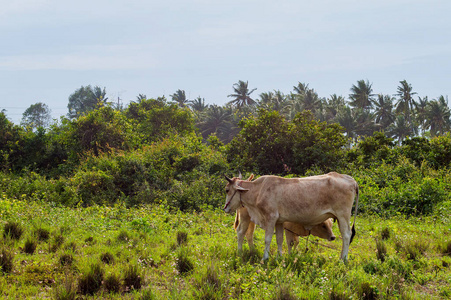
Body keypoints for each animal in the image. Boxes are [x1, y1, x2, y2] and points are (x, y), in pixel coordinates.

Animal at [223, 172, 360, 262]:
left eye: (227, 190)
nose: (225, 208)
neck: (259, 190)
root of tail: (351, 180)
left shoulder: (270, 218)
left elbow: (268, 239)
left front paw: (265, 258)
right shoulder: (279, 221)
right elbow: (279, 239)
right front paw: (279, 257)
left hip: (343, 215)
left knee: (346, 235)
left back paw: (343, 259)